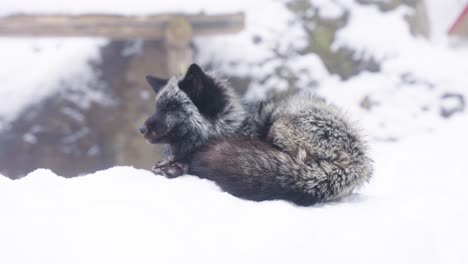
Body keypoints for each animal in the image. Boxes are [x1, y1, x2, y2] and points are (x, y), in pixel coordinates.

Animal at [139, 64, 372, 206]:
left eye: (171, 108)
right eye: (158, 107)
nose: (141, 130)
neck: (232, 127)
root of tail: (357, 163)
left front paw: (176, 167)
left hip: (280, 124)